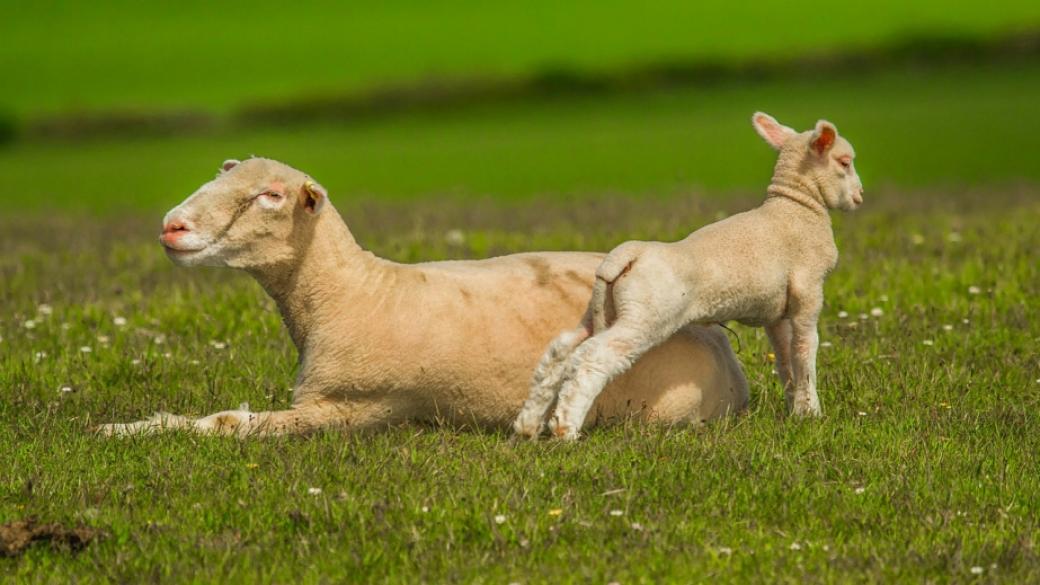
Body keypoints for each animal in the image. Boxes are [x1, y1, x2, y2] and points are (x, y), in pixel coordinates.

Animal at [97, 157, 748, 435]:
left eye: (272, 196)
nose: (173, 226)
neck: (353, 291)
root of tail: (726, 353)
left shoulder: (350, 409)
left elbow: (227, 424)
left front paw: (131, 430)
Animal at [511, 111, 861, 437]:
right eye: (845, 162)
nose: (859, 196)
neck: (797, 207)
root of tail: (626, 255)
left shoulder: (775, 312)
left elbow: (786, 358)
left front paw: (795, 409)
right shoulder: (808, 291)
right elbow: (805, 351)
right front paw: (811, 413)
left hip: (603, 310)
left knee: (562, 351)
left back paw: (528, 425)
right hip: (645, 316)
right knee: (593, 355)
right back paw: (565, 428)